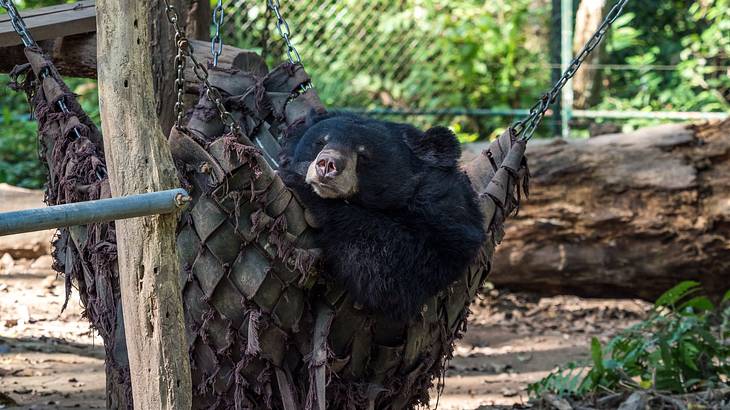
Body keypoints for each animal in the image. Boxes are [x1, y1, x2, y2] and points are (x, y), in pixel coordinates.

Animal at [278, 112, 484, 320]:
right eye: (320, 142)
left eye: (363, 155)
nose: (327, 164)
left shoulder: (445, 215)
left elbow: (396, 269)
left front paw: (296, 181)